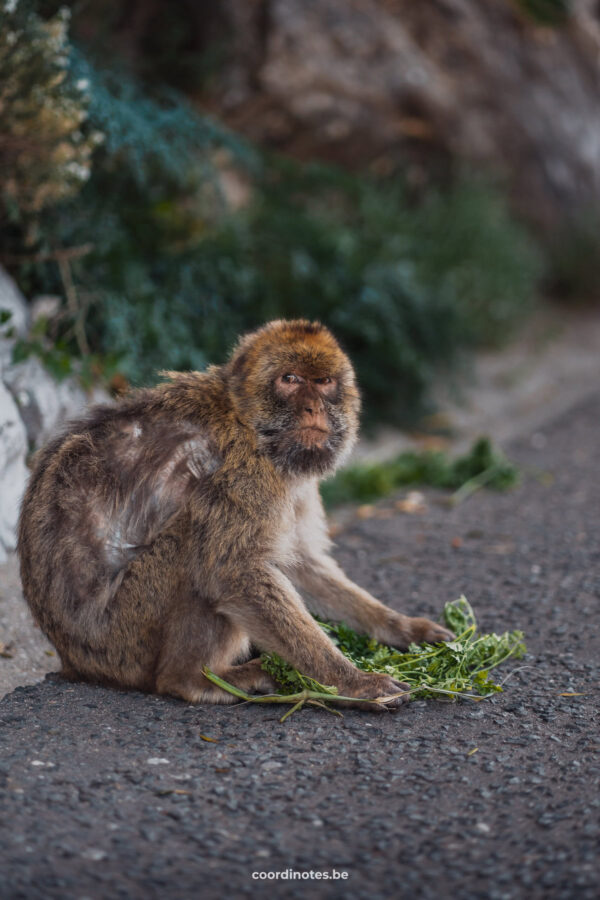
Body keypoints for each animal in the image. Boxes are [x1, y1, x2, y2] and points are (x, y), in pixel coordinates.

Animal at [16, 320, 452, 708]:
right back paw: (191, 680)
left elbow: (303, 564)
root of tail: (75, 661)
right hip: (125, 638)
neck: (250, 424)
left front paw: (404, 629)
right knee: (196, 552)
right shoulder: (244, 473)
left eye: (325, 382)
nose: (313, 407)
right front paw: (354, 682)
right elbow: (234, 572)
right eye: (290, 379)